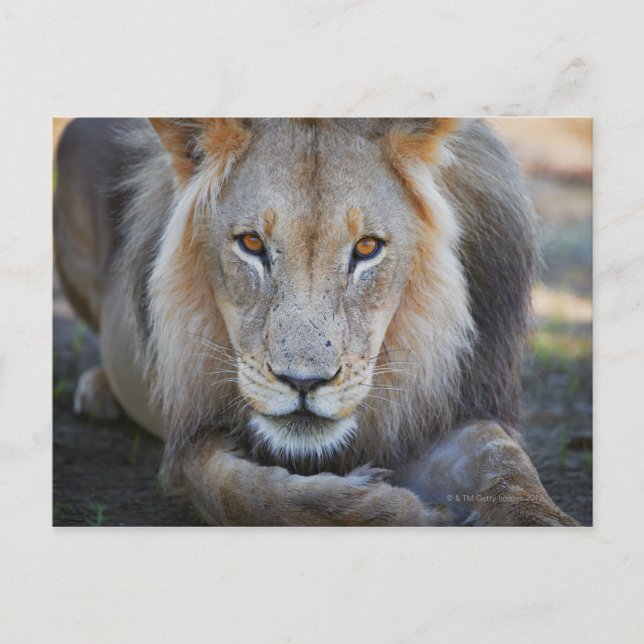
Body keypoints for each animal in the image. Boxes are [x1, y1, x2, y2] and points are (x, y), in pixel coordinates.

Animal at [54, 117, 578, 526]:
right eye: (251, 243)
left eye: (367, 248)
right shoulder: (192, 440)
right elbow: (248, 495)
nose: (303, 383)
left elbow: (507, 469)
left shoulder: (452, 412)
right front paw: (399, 511)